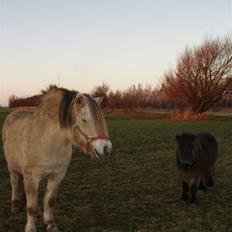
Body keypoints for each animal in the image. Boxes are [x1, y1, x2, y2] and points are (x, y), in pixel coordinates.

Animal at [2, 86, 112, 232]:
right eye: (84, 120)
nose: (106, 148)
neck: (47, 140)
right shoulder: (32, 178)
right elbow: (32, 207)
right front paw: (30, 228)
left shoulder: (57, 176)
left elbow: (50, 201)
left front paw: (50, 224)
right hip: (12, 166)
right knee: (14, 182)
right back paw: (14, 205)